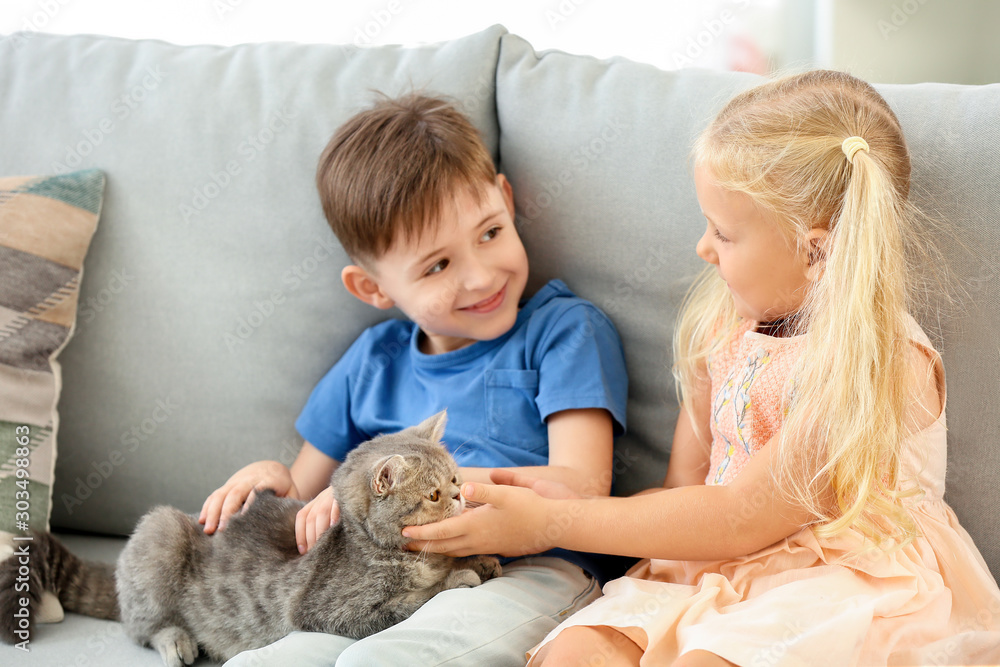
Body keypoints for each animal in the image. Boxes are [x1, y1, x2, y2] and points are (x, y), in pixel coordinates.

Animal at [0, 412, 500, 667]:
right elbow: (412, 600)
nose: (461, 494)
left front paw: (478, 557)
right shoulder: (332, 609)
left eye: (455, 478)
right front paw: (457, 577)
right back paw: (174, 640)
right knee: (140, 627)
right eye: (434, 494)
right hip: (160, 533)